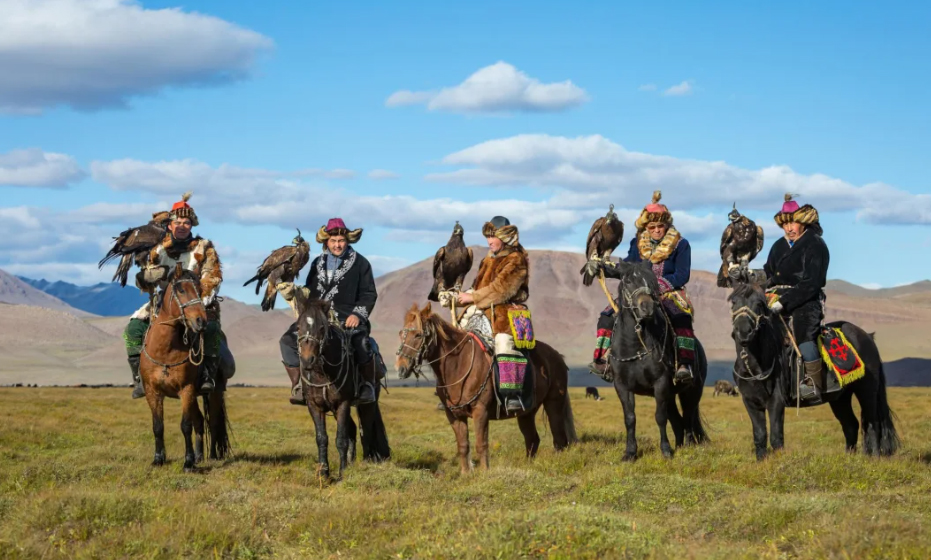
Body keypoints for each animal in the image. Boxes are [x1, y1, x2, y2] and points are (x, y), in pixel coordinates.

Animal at [140, 266, 231, 472]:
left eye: (200, 289)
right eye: (181, 290)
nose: (201, 321)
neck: (165, 350)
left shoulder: (186, 390)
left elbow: (185, 426)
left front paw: (188, 463)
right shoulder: (152, 392)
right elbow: (158, 426)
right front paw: (158, 459)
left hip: (213, 392)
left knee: (212, 422)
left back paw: (211, 456)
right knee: (200, 421)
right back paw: (199, 456)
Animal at [294, 300, 390, 480]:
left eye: (322, 327)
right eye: (298, 327)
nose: (307, 360)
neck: (322, 373)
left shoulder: (343, 403)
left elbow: (341, 439)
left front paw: (342, 472)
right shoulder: (315, 405)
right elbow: (322, 438)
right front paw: (323, 472)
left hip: (367, 403)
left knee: (366, 430)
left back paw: (365, 461)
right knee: (352, 429)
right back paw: (351, 462)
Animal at [398, 302, 580, 472]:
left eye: (418, 334)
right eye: (401, 334)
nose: (400, 368)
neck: (459, 365)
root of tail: (558, 356)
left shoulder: (481, 411)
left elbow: (481, 444)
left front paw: (484, 472)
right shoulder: (454, 415)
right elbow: (463, 445)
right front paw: (466, 473)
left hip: (554, 403)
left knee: (559, 438)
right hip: (526, 412)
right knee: (532, 439)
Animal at [600, 258, 708, 460]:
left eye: (651, 281)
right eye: (627, 281)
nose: (646, 307)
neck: (634, 345)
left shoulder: (661, 383)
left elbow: (660, 417)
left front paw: (665, 450)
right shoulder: (622, 386)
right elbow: (630, 418)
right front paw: (630, 453)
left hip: (692, 390)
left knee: (688, 416)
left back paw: (688, 446)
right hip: (672, 394)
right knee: (677, 420)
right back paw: (679, 445)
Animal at [732, 284, 900, 460]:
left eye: (759, 303)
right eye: (733, 302)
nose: (743, 332)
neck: (756, 366)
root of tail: (867, 336)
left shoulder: (776, 401)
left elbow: (776, 437)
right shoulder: (750, 402)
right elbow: (759, 435)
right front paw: (762, 462)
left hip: (866, 389)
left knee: (873, 423)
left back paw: (874, 458)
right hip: (840, 397)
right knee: (851, 424)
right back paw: (848, 458)